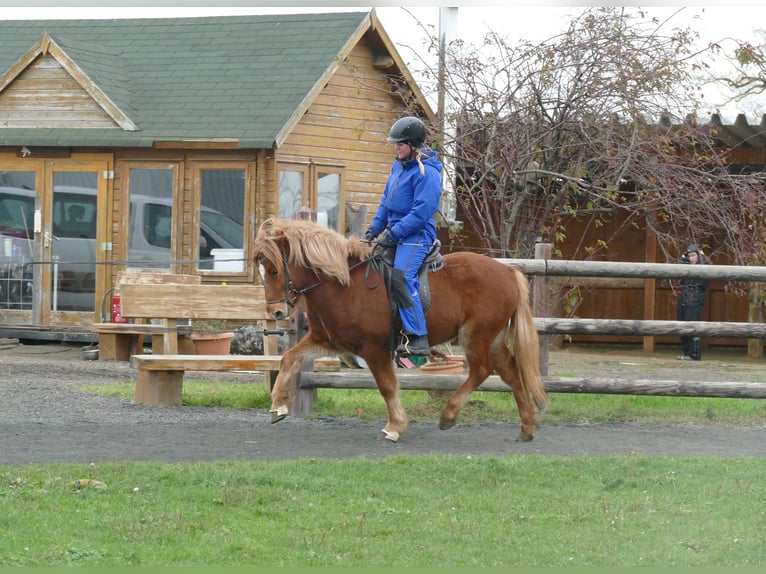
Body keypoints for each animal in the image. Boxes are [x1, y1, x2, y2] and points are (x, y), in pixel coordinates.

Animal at [252, 217, 548, 443]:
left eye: (274, 271)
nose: (275, 313)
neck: (344, 285)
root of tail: (508, 273)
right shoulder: (328, 341)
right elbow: (289, 359)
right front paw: (278, 406)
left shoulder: (374, 348)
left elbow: (387, 386)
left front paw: (394, 427)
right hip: (493, 337)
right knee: (511, 373)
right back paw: (527, 427)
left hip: (476, 335)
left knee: (482, 370)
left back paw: (449, 414)